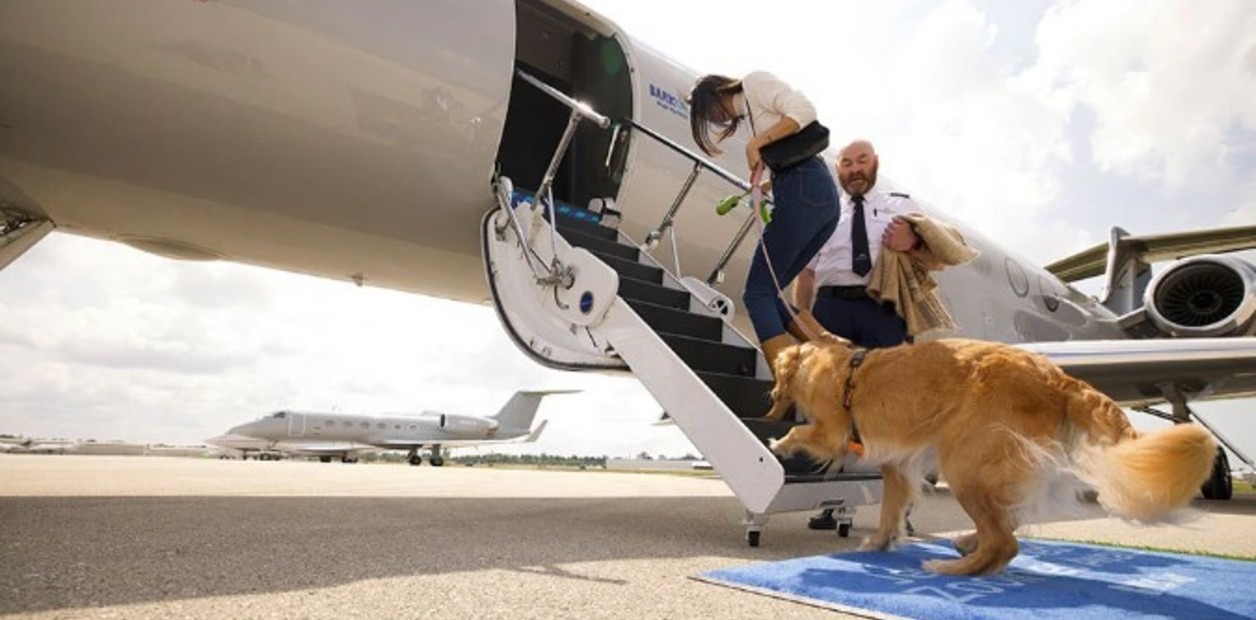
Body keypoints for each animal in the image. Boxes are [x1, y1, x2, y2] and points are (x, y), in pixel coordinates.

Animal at [763, 338, 1215, 577]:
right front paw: (880, 541)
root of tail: (1058, 377)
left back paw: (952, 569)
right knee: (1007, 521)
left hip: (965, 463)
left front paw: (779, 443)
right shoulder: (898, 462)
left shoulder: (833, 431)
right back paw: (966, 543)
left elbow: (802, 432)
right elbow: (892, 508)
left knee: (1004, 541)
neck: (830, 363)